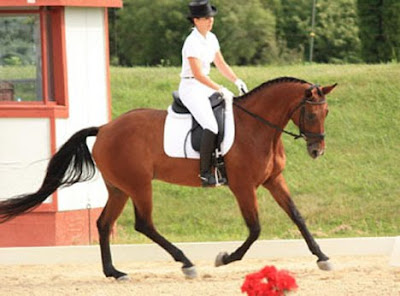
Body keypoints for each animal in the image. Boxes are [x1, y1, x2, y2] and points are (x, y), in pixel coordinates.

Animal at [0, 76, 338, 280]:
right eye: (311, 114)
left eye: (326, 113)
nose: (318, 150)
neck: (258, 128)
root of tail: (105, 128)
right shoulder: (243, 186)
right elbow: (255, 228)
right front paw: (225, 258)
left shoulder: (274, 181)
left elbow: (297, 216)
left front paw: (322, 257)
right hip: (139, 185)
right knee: (144, 224)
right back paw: (185, 262)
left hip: (120, 188)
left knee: (104, 223)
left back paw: (114, 272)